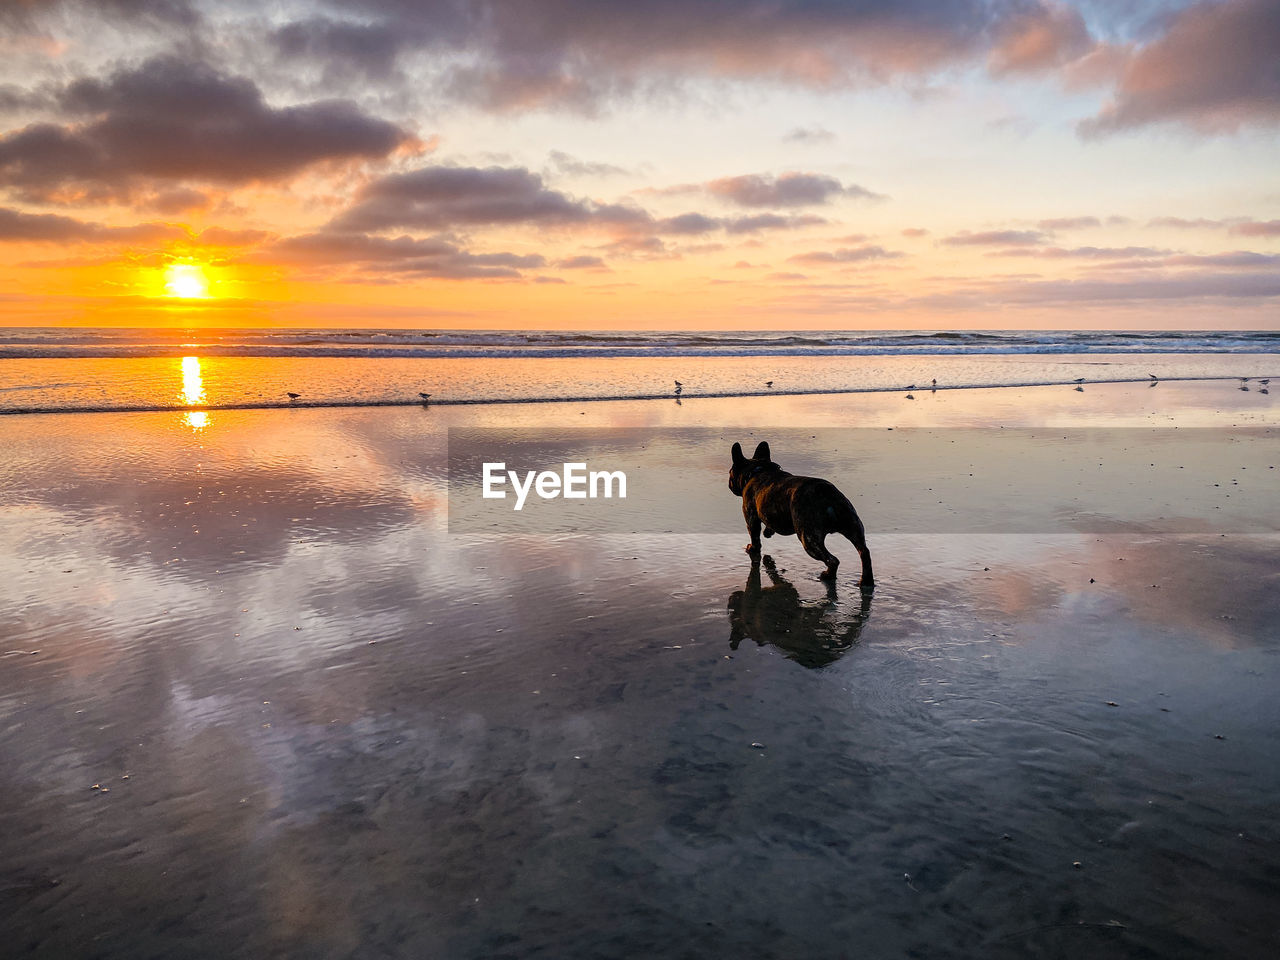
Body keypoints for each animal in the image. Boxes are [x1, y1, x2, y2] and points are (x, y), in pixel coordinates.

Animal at [727, 442, 875, 591]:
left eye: (730, 472)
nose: (729, 484)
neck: (758, 470)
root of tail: (828, 495)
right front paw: (768, 532)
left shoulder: (750, 517)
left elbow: (755, 536)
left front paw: (752, 548)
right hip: (854, 527)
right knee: (864, 552)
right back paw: (866, 581)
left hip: (808, 538)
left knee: (833, 560)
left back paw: (828, 575)